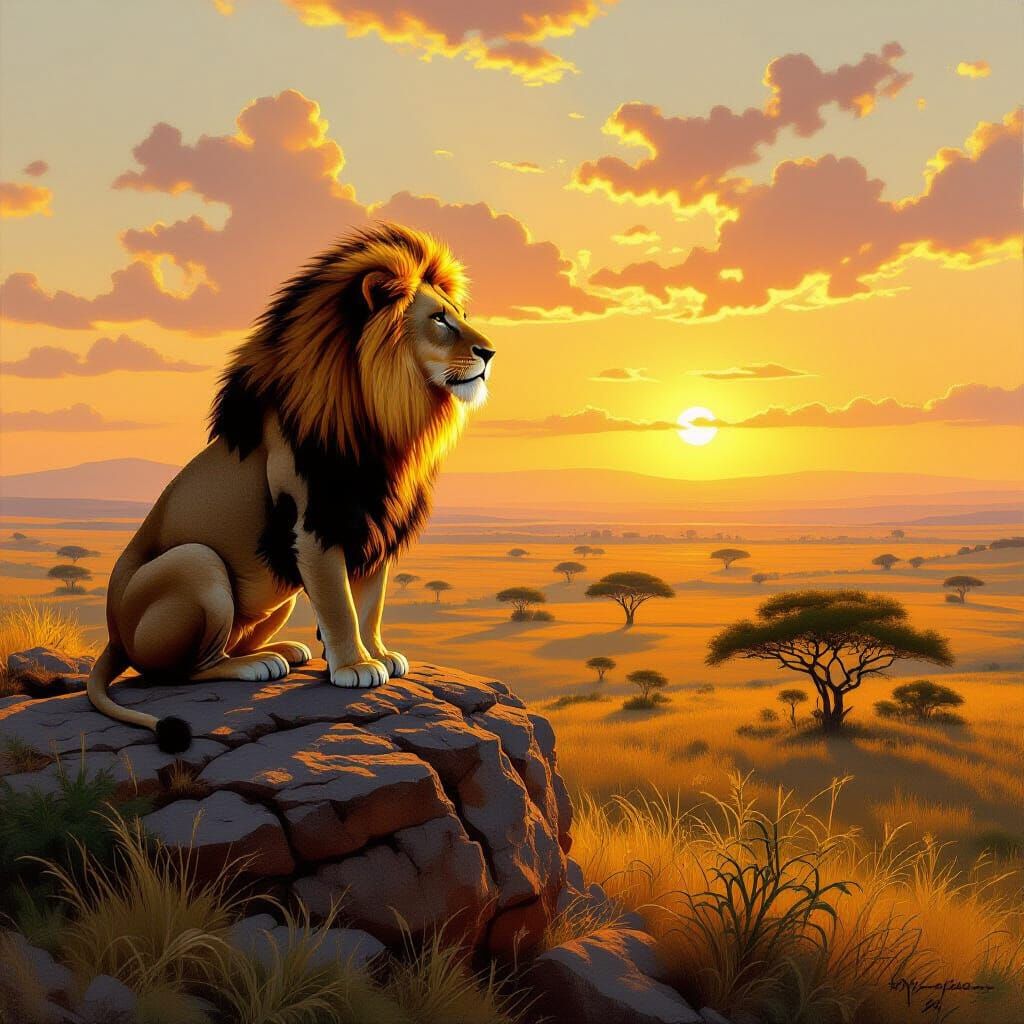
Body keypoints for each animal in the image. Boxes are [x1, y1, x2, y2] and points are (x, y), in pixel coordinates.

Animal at [87, 223, 495, 752]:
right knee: (177, 671)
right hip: (197, 563)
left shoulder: (372, 524)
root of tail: (113, 634)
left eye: (462, 316)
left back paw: (285, 648)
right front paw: (355, 666)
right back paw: (257, 664)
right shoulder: (314, 522)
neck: (387, 421)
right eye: (440, 320)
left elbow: (370, 602)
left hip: (275, 595)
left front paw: (380, 653)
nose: (491, 352)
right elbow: (340, 604)